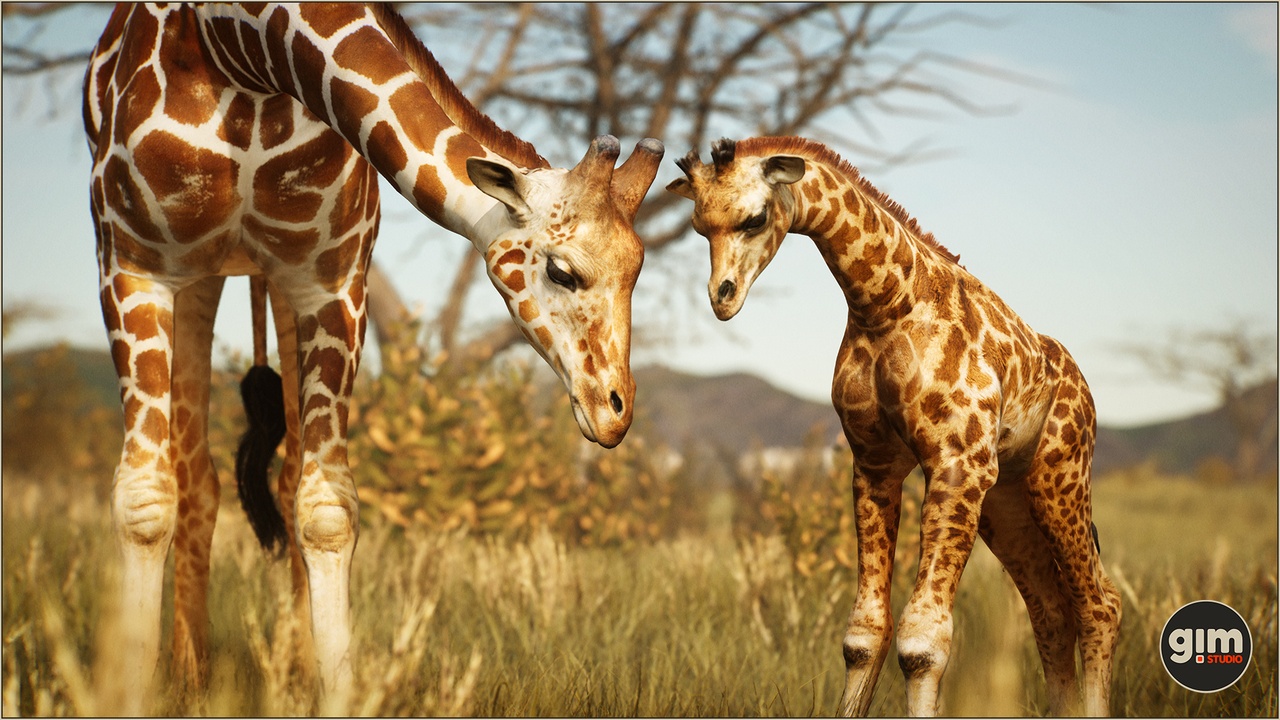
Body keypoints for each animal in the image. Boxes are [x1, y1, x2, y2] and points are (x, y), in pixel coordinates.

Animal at [82, 3, 662, 713]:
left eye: (637, 271)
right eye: (561, 270)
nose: (615, 412)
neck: (241, 51)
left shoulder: (329, 276)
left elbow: (326, 509)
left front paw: (331, 688)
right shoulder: (133, 263)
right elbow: (143, 502)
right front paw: (132, 691)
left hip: (270, 283)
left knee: (279, 477)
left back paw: (288, 671)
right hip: (200, 278)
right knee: (196, 478)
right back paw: (189, 675)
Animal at [668, 137, 1122, 717]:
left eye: (756, 218)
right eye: (700, 225)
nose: (722, 297)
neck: (886, 305)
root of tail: (1084, 390)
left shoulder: (958, 462)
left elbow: (922, 643)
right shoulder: (875, 464)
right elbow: (863, 635)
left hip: (1057, 477)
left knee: (1100, 606)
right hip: (1006, 503)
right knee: (1051, 611)